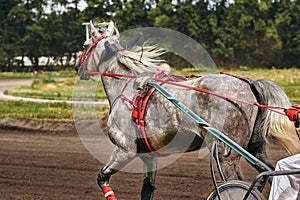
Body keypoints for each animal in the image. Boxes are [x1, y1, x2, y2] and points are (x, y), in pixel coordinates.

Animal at [75, 21, 300, 199]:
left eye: (85, 46)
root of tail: (248, 83)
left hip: (226, 154)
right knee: (269, 170)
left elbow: (102, 177)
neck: (128, 86)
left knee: (238, 184)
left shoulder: (124, 150)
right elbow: (147, 190)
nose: (77, 67)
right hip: (255, 148)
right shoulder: (149, 156)